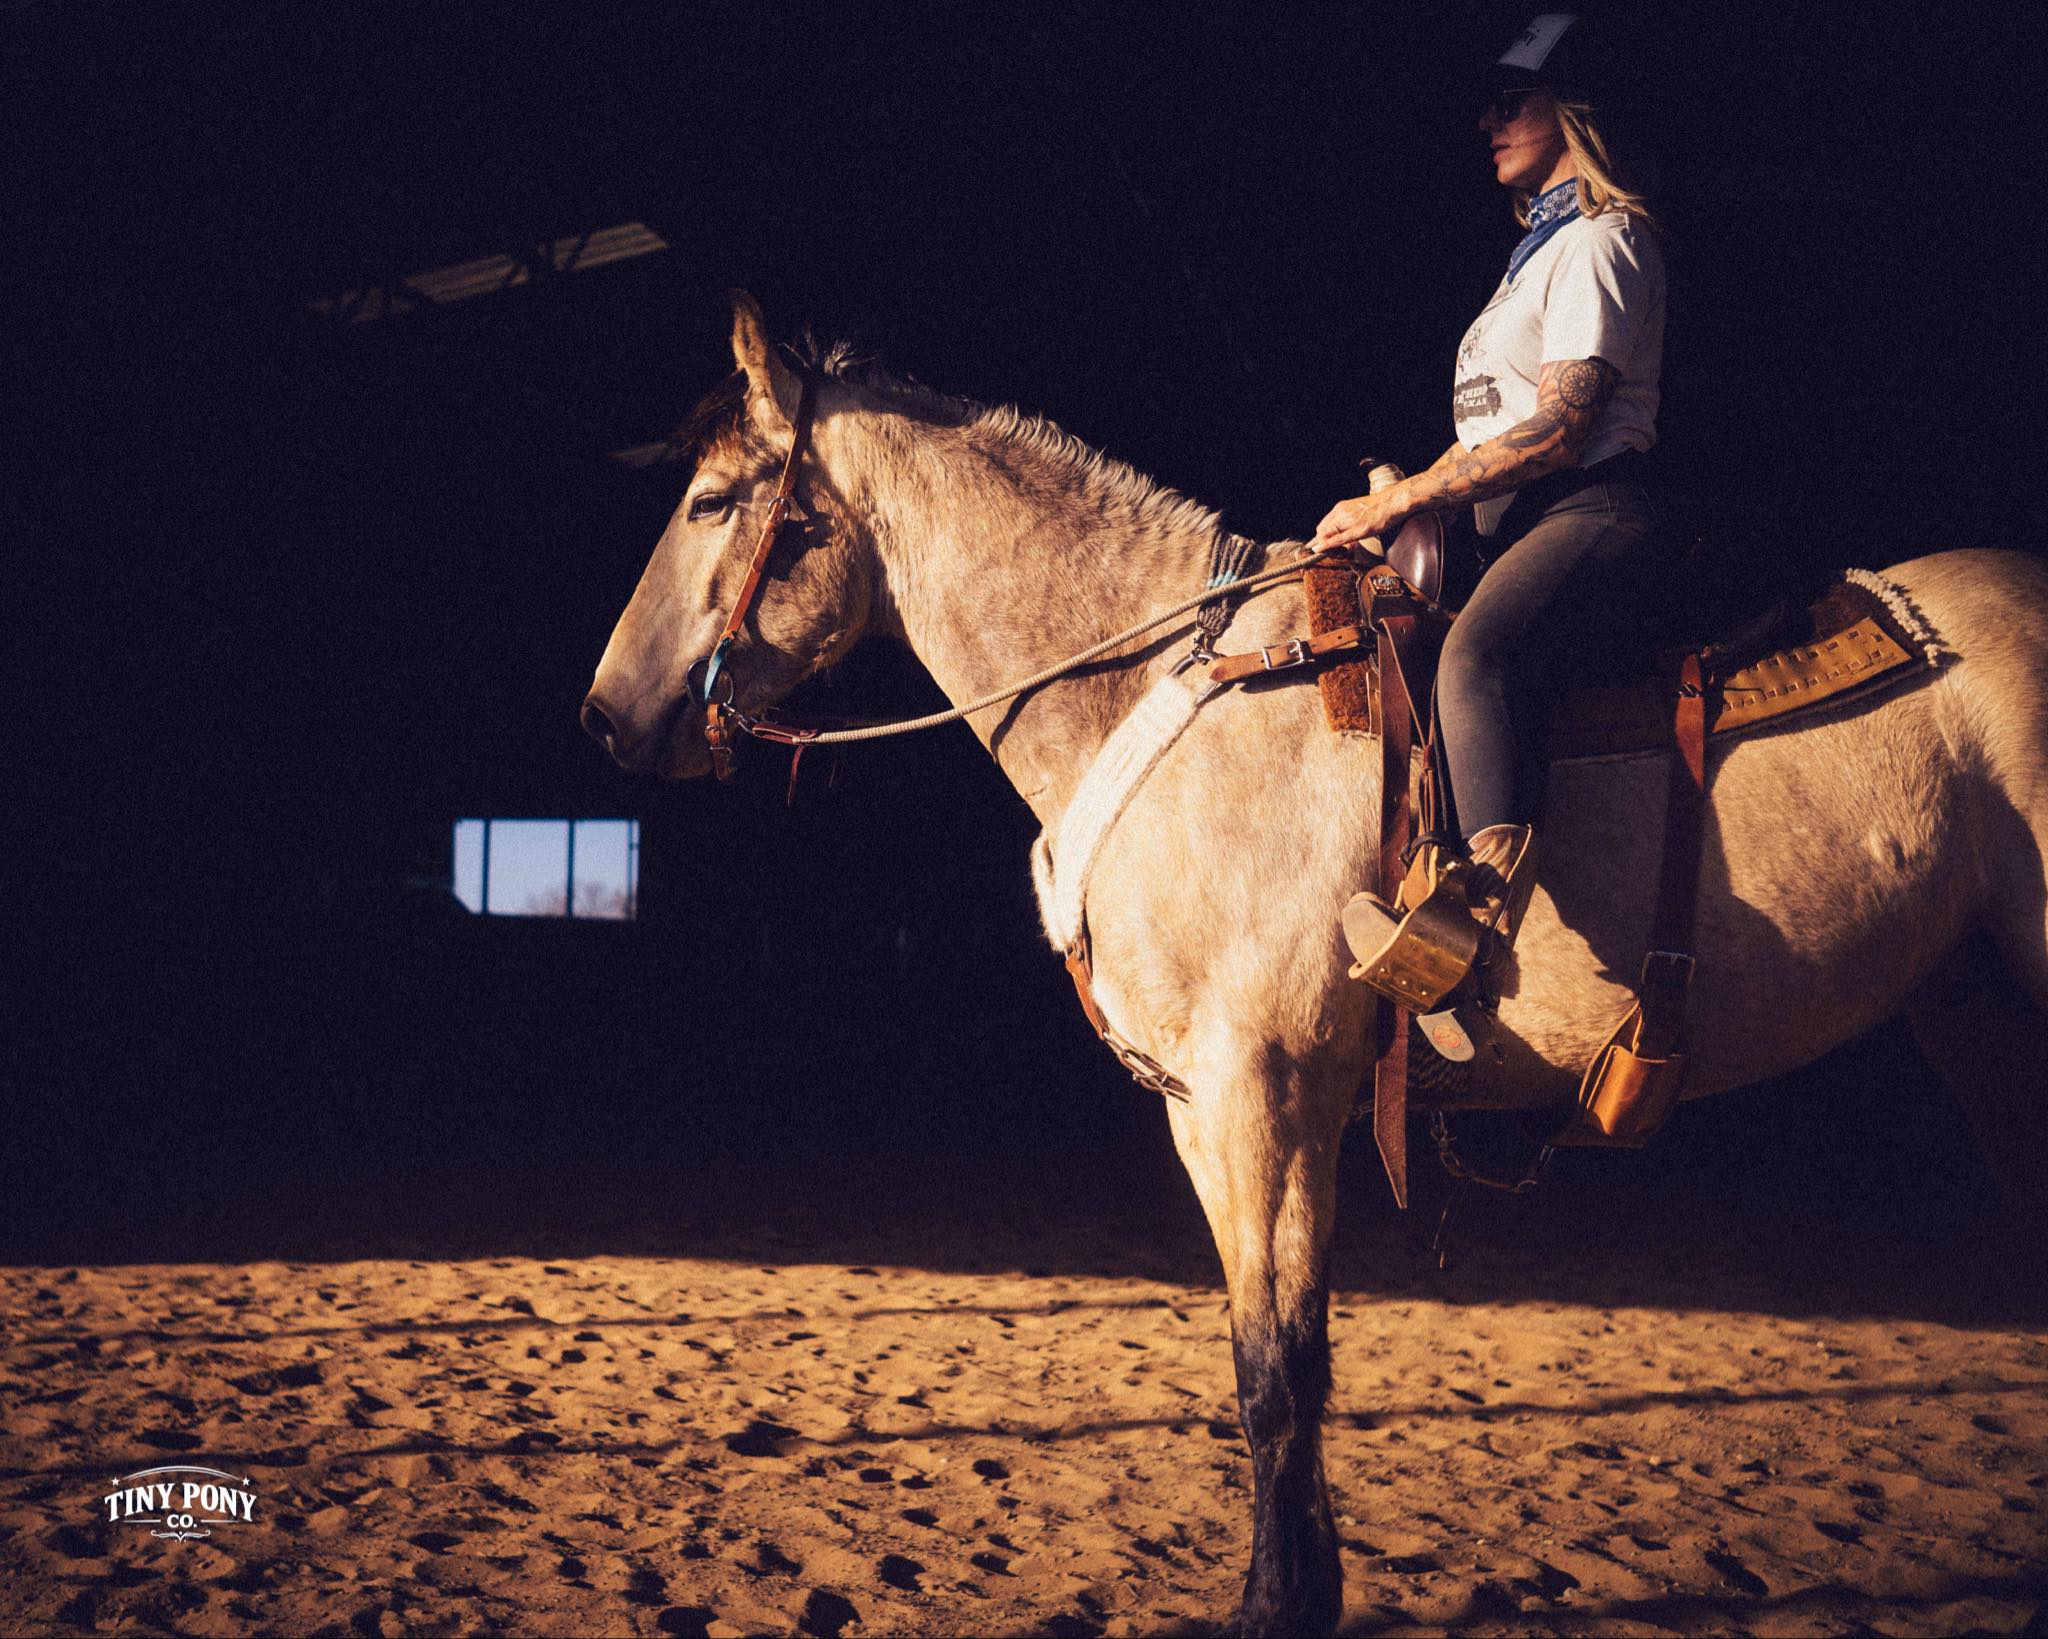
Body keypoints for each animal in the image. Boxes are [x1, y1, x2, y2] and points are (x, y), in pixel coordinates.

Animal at [581, 294, 2048, 1636]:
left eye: (712, 499)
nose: (604, 716)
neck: (1164, 696)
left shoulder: (1268, 1092)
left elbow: (1281, 1366)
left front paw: (1281, 1600)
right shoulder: (1203, 1109)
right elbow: (1261, 1350)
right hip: (1975, 1015)